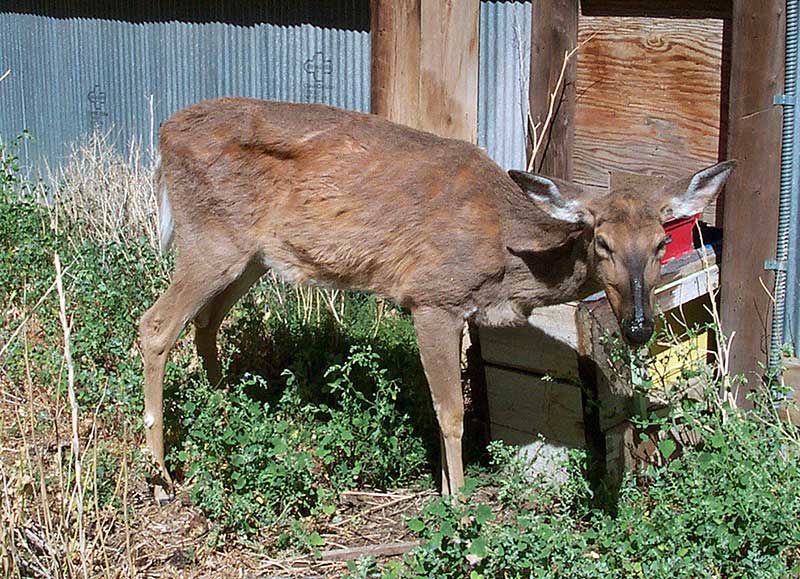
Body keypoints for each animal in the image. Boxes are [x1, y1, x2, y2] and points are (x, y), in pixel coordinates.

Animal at [139, 96, 736, 502]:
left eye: (661, 243)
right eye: (602, 241)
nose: (638, 326)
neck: (507, 257)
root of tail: (163, 135)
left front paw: (450, 490)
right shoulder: (431, 297)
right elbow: (450, 412)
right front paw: (460, 503)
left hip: (251, 256)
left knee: (205, 324)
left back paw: (228, 412)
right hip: (210, 239)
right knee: (155, 325)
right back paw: (164, 477)